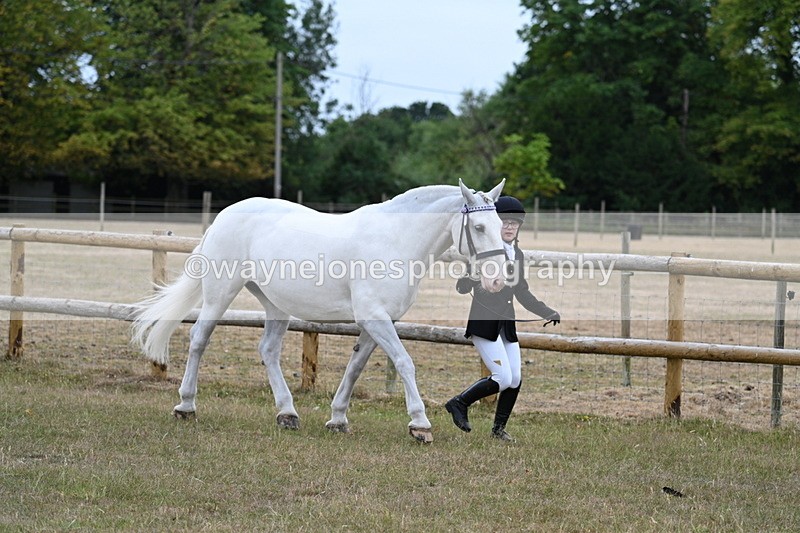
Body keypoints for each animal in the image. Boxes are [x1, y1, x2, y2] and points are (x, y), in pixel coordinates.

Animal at [132, 179, 508, 442]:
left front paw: (337, 419)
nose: (497, 281)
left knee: (268, 351)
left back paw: (287, 413)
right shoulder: (374, 317)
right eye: (478, 228)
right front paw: (420, 424)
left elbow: (355, 368)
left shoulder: (378, 321)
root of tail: (224, 215)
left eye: (500, 226)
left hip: (275, 304)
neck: (396, 240)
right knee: (199, 339)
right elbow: (404, 363)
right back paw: (186, 406)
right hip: (220, 293)